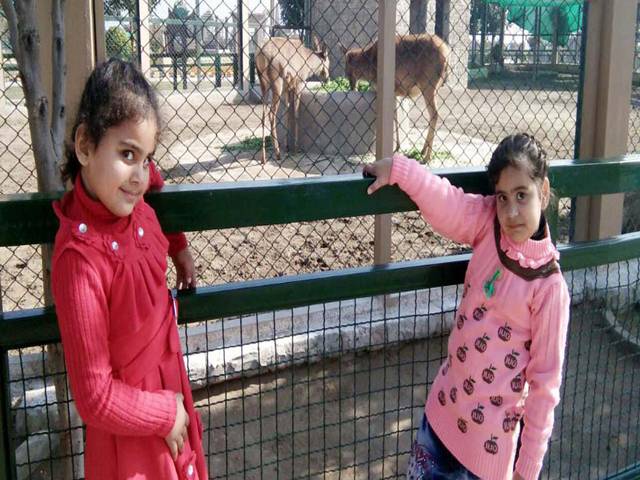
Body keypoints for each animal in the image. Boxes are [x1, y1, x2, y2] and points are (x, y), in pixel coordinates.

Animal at [344, 33, 450, 163]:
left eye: (347, 68)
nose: (351, 86)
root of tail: (447, 53)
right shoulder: (395, 93)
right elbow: (396, 115)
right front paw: (397, 146)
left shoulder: (390, 89)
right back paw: (422, 150)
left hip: (428, 85)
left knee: (434, 114)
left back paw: (427, 157)